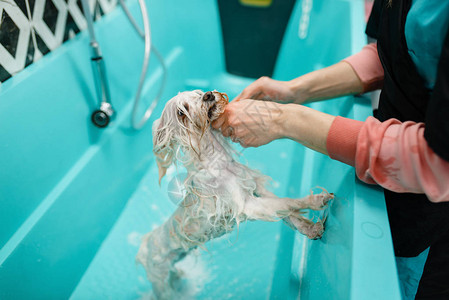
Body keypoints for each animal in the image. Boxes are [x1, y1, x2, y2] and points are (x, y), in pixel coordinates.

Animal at [135, 90, 330, 298]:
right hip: (160, 281)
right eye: (181, 111)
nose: (208, 95)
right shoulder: (247, 205)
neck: (220, 164)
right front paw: (316, 200)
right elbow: (287, 203)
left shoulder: (257, 191)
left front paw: (311, 229)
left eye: (197, 93)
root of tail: (145, 245)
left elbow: (288, 213)